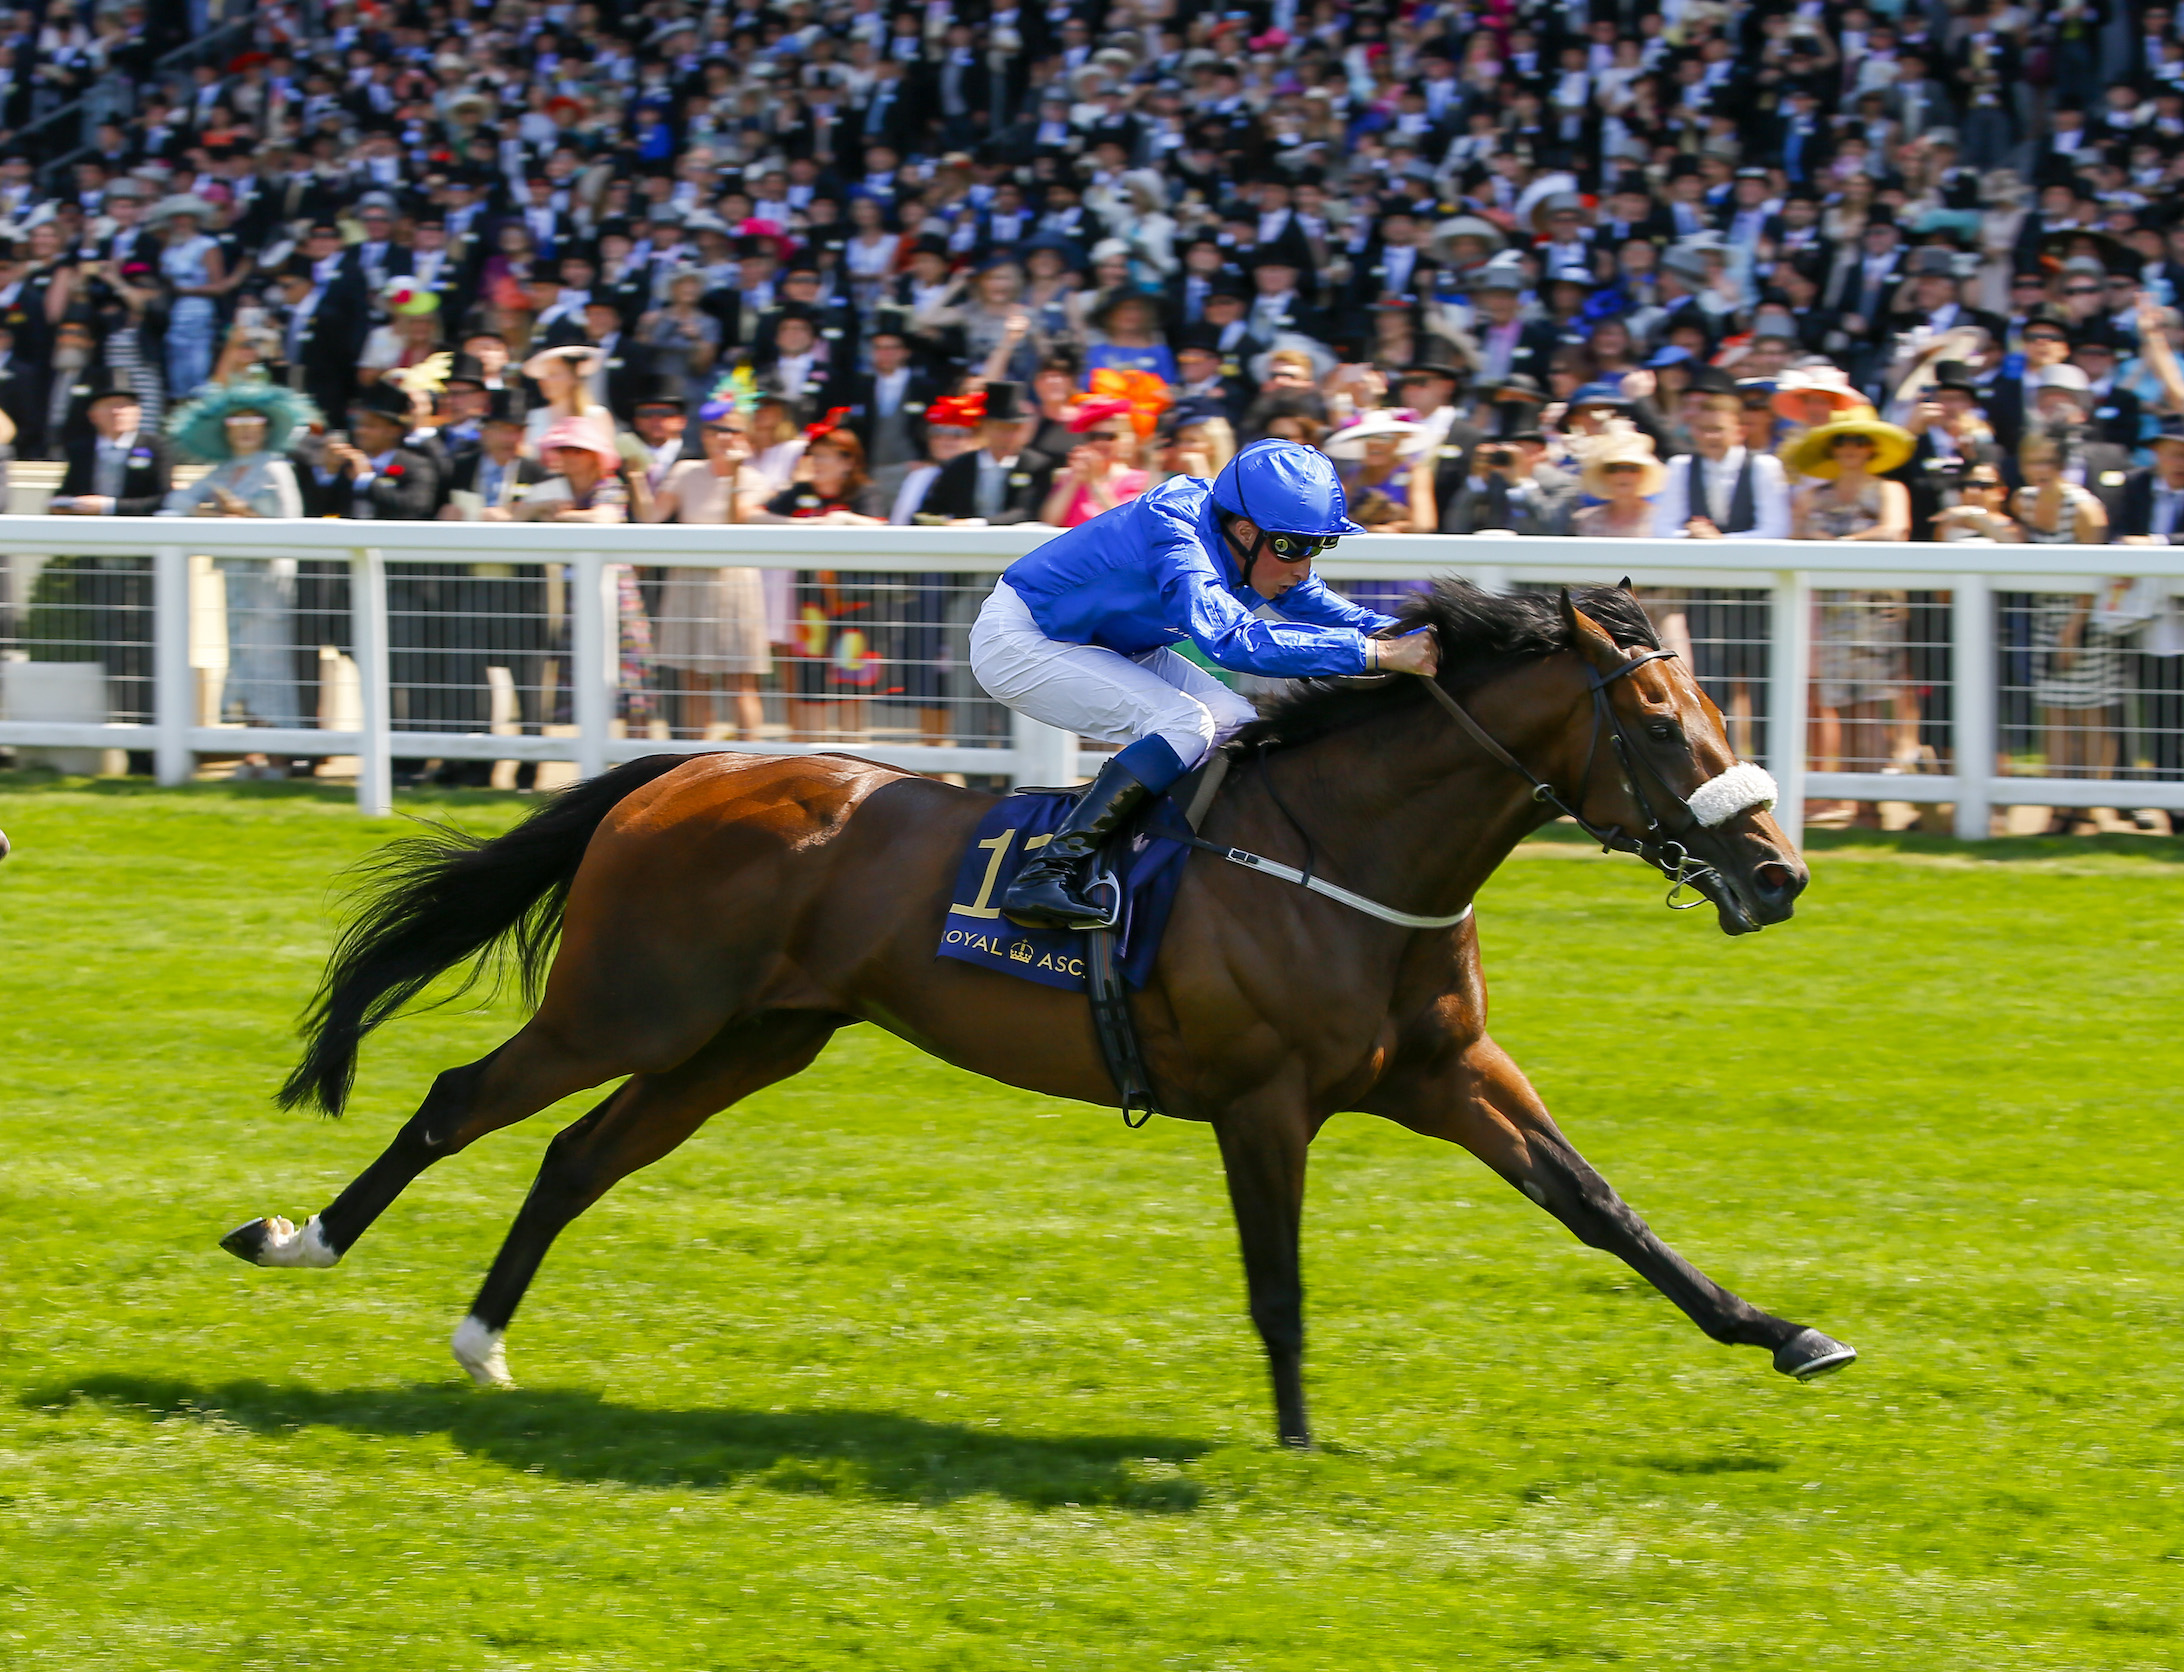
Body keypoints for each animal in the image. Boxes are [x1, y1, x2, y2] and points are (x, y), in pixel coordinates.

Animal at [226, 584, 1860, 1449]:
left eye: (1710, 709)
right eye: (1657, 722)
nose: (1777, 873)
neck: (1346, 853)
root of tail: (684, 769)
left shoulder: (1452, 1072)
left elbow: (1602, 1207)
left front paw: (1783, 1331)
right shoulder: (1266, 1102)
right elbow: (1279, 1281)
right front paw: (1295, 1440)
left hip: (750, 1037)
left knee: (579, 1158)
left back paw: (484, 1341)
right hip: (630, 1007)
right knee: (458, 1099)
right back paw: (300, 1239)